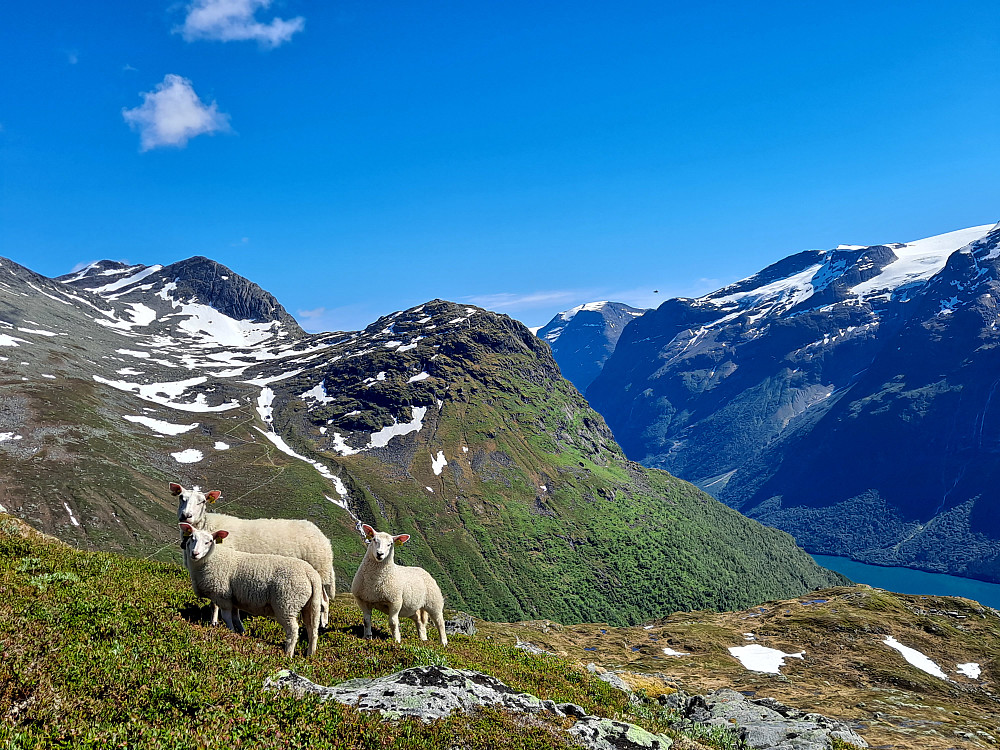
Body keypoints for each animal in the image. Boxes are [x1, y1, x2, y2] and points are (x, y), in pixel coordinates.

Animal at [172, 482, 336, 628]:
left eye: (202, 501)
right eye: (181, 497)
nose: (186, 516)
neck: (207, 526)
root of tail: (323, 537)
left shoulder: (218, 570)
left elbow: (215, 603)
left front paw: (214, 622)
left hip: (319, 570)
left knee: (323, 601)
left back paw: (322, 624)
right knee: (324, 599)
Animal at [179, 524, 320, 656]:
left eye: (208, 541)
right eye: (192, 538)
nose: (194, 553)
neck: (211, 558)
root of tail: (311, 574)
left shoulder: (222, 595)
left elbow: (226, 617)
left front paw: (230, 631)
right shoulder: (233, 598)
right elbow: (236, 617)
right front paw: (241, 632)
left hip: (287, 603)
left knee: (293, 630)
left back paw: (288, 654)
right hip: (310, 605)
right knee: (312, 629)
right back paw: (310, 655)